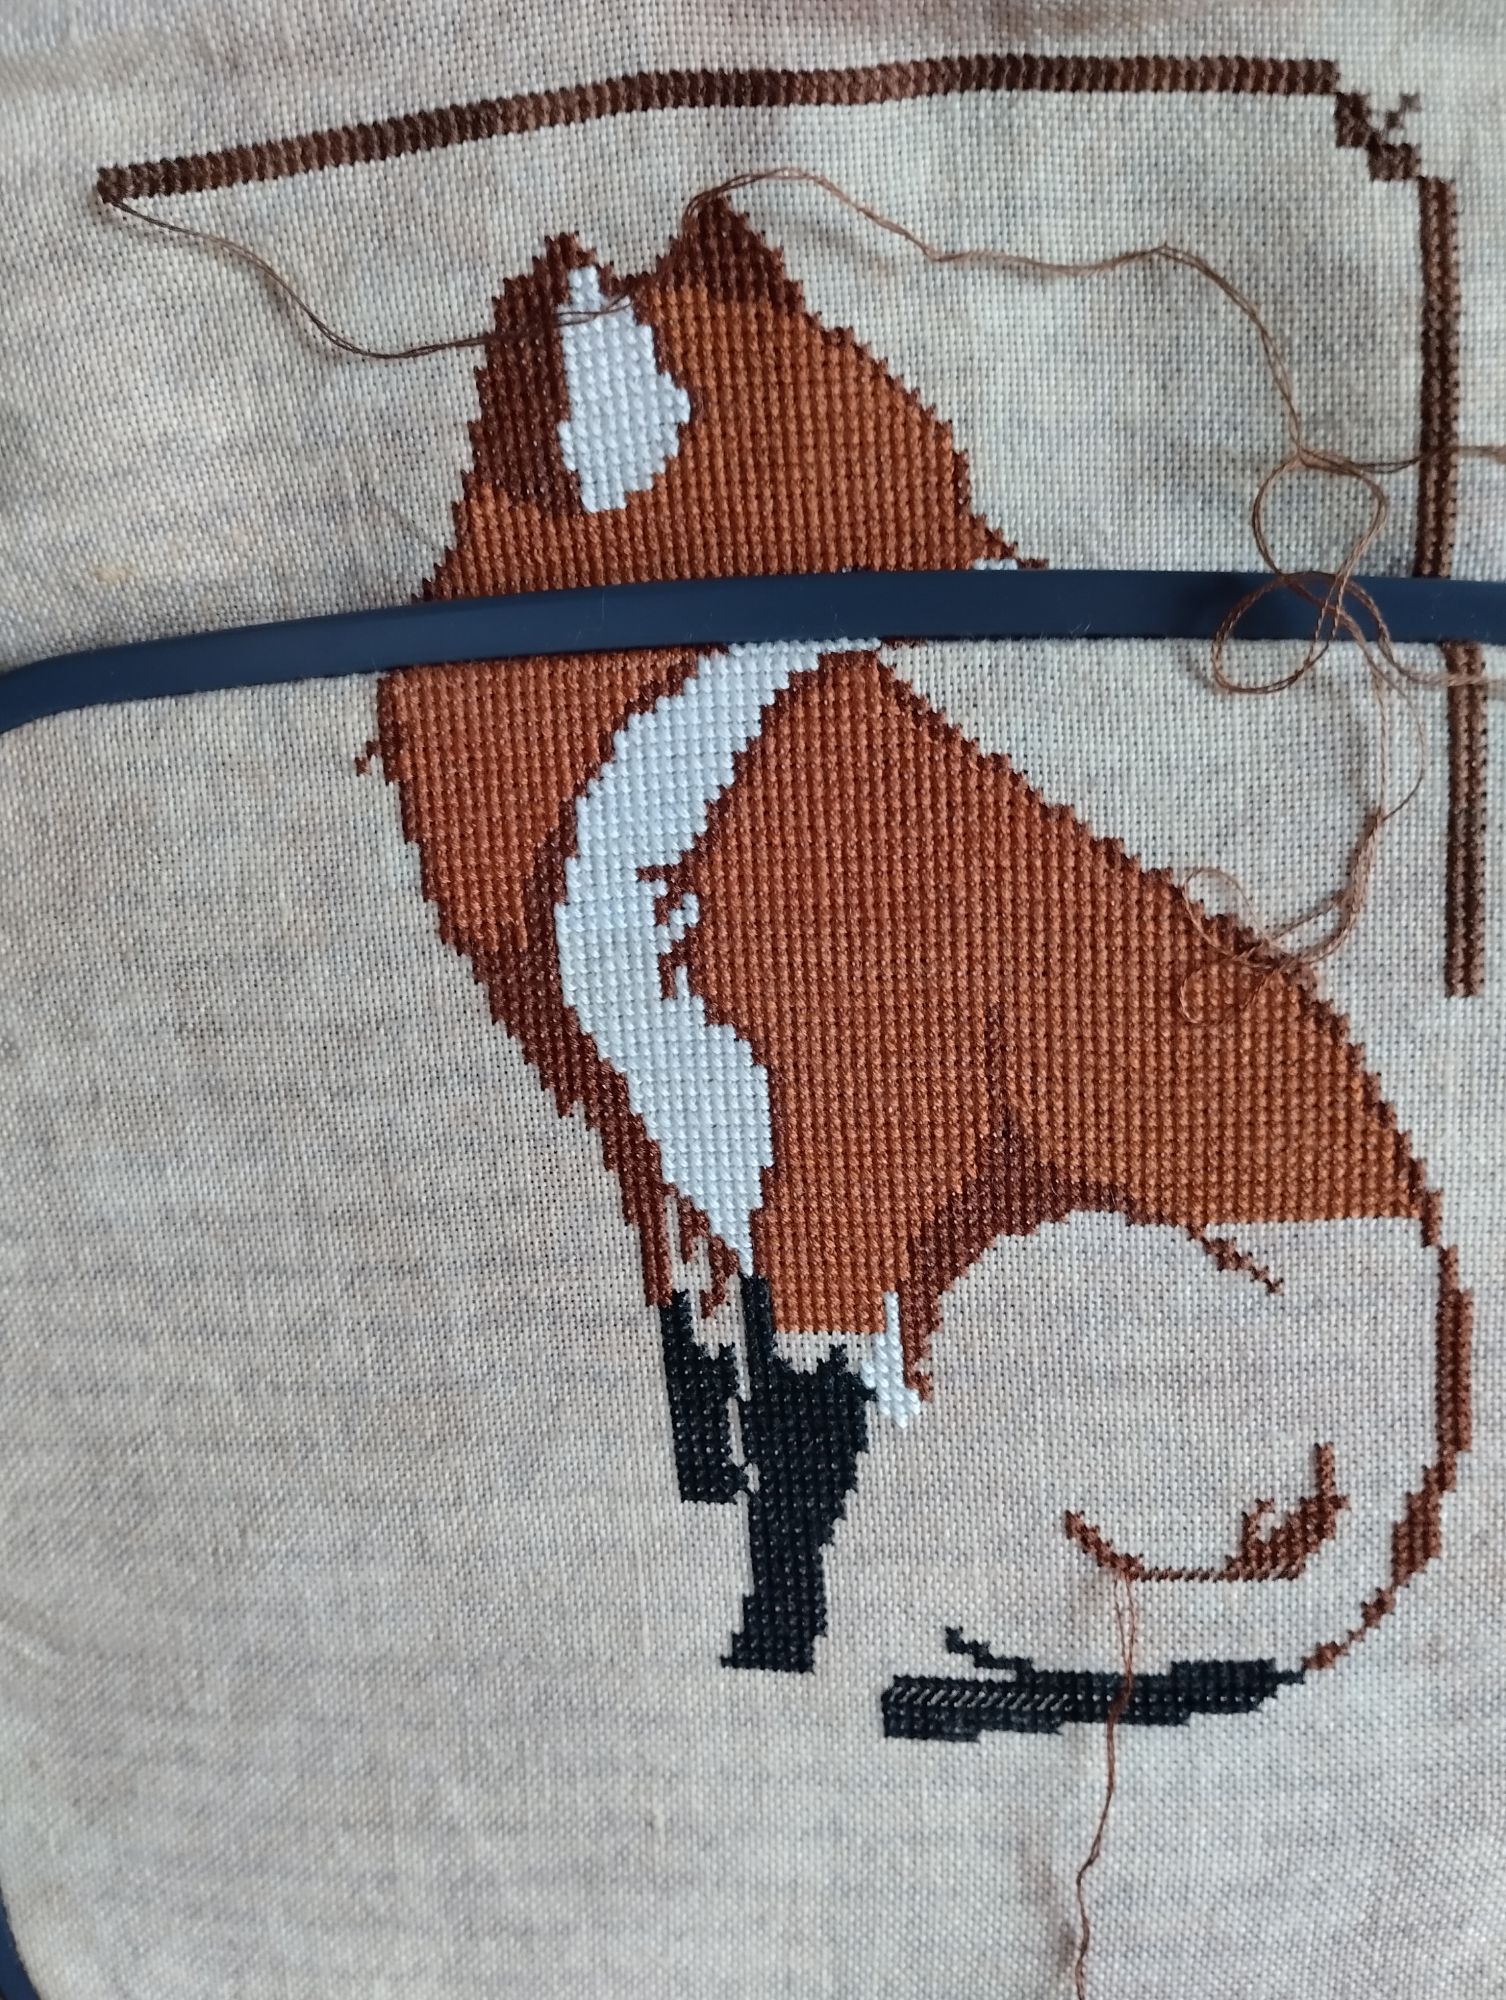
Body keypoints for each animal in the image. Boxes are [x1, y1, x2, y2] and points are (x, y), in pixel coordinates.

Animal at [365, 195, 1471, 1731]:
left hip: (1048, 1286)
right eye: (892, 512)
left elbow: (798, 1450)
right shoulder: (677, 1141)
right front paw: (723, 1548)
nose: (1054, 595)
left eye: (945, 465)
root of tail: (1416, 1489)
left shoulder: (846, 1160)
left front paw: (774, 1646)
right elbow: (711, 1393)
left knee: (1115, 1637)